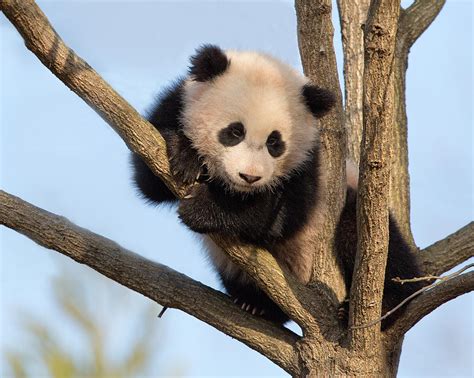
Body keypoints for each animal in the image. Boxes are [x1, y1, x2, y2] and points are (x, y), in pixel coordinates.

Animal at [131, 44, 422, 328]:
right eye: (235, 131)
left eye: (275, 142)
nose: (249, 177)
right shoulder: (176, 105)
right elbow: (148, 178)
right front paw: (186, 156)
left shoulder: (309, 164)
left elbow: (282, 216)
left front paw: (203, 209)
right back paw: (255, 304)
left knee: (372, 240)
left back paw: (377, 306)